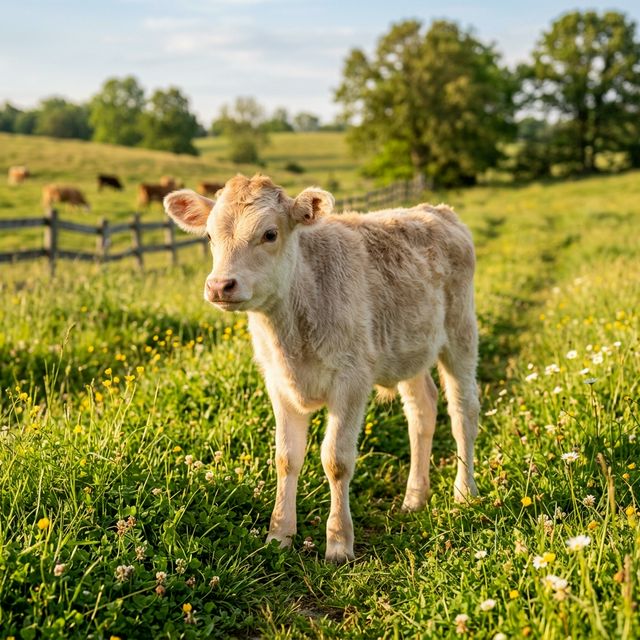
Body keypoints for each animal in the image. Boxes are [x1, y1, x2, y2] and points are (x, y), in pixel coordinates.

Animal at [164, 174, 480, 564]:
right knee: (422, 410)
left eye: (270, 233)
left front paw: (339, 542)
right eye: (209, 236)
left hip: (460, 332)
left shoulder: (352, 379)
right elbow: (286, 457)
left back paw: (464, 493)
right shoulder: (278, 383)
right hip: (409, 349)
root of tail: (437, 211)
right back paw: (414, 497)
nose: (220, 285)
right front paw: (279, 534)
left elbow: (336, 459)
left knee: (463, 411)